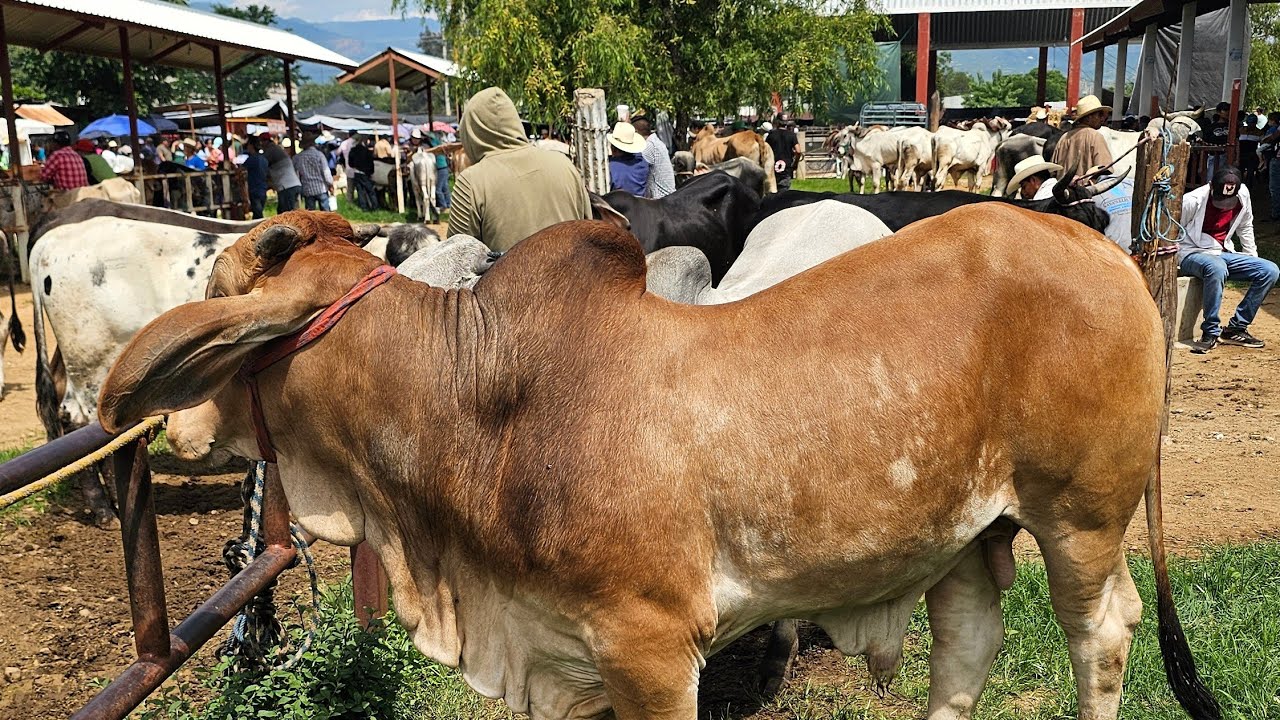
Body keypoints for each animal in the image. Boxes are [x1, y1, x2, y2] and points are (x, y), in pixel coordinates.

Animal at [100, 208, 1220, 720]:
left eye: (215, 285)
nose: (169, 433)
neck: (477, 405)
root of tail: (1103, 245)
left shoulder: (648, 644)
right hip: (964, 532)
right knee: (969, 642)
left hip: (1079, 515)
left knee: (1100, 632)